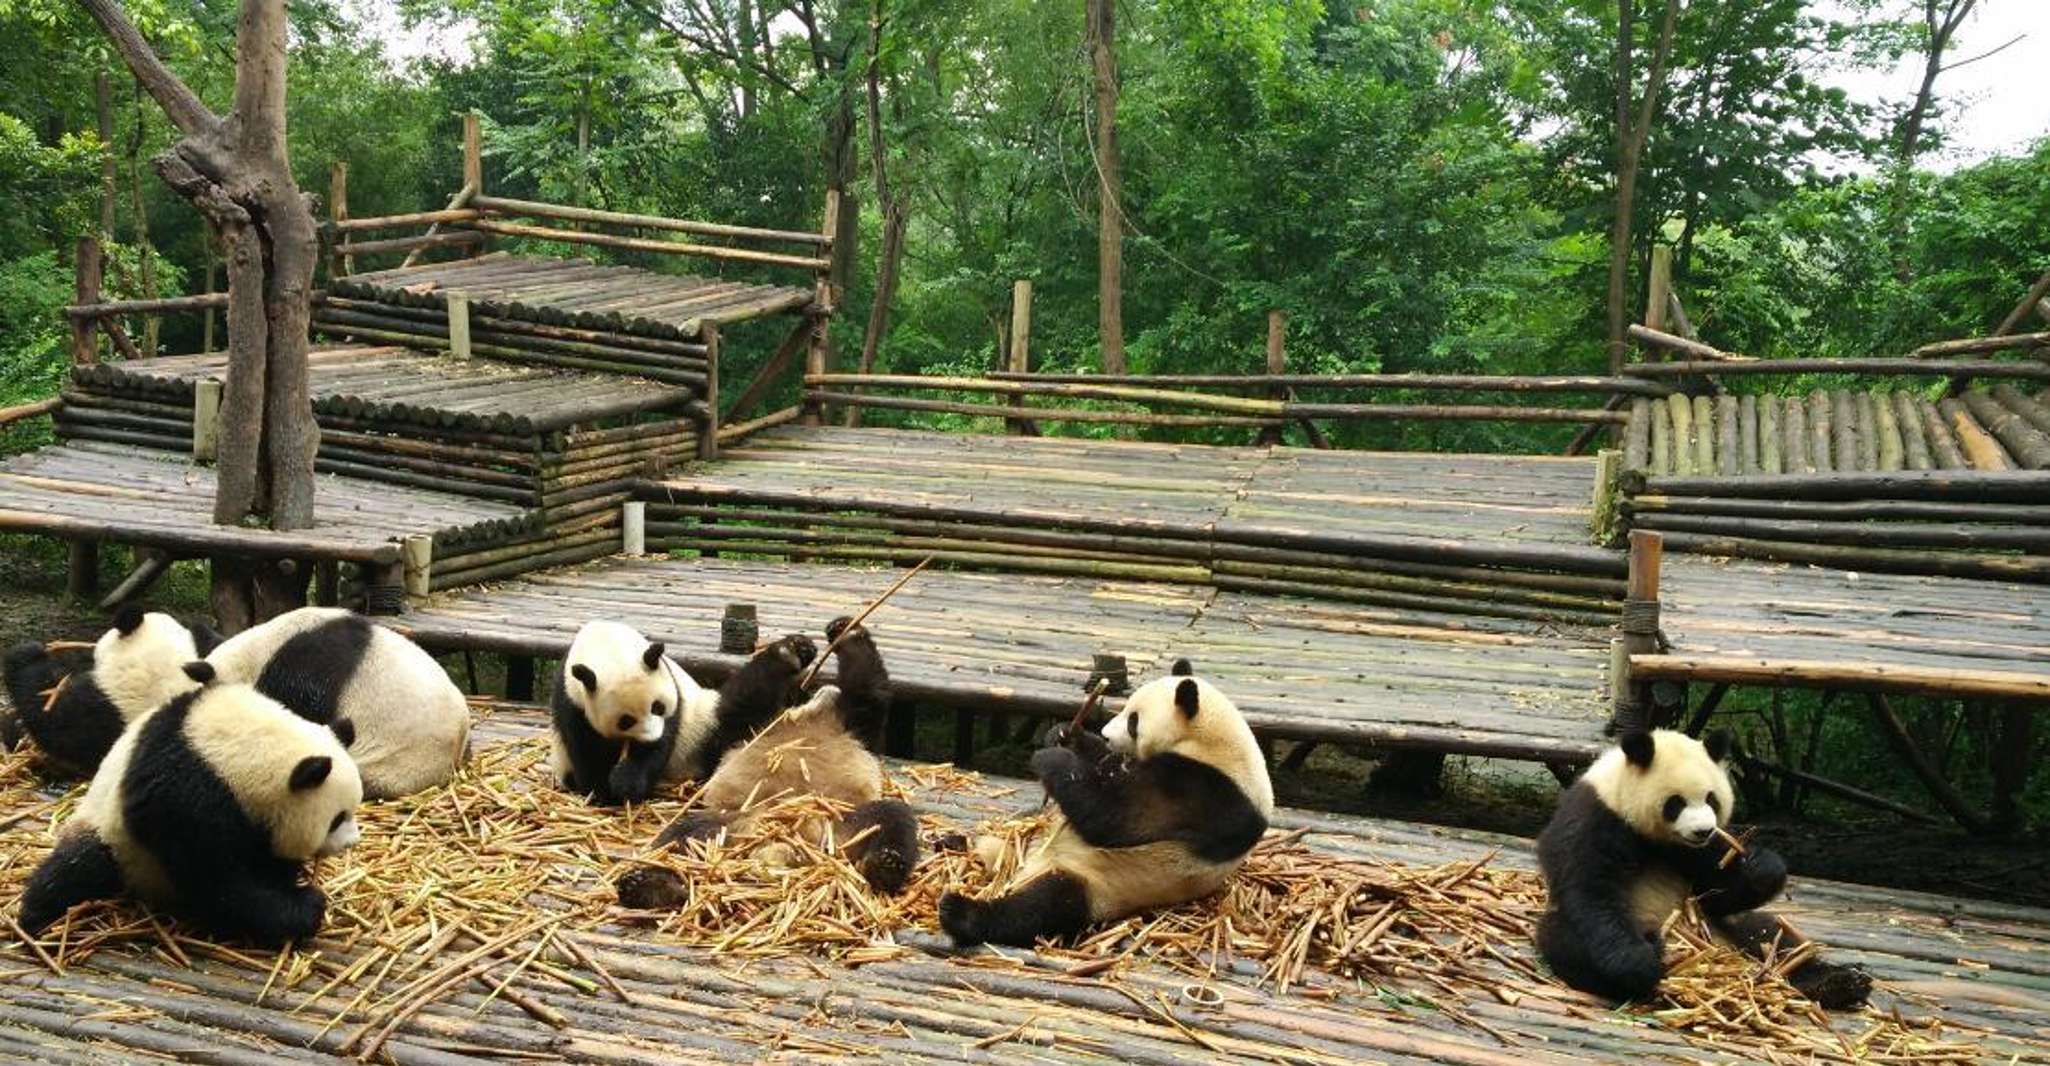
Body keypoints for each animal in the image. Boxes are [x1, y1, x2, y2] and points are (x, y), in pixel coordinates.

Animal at [18, 664, 362, 945]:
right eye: (336, 818)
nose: (352, 842)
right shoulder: (185, 796)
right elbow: (216, 879)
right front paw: (305, 907)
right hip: (113, 835)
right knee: (76, 867)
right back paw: (36, 918)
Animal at [550, 618, 810, 806]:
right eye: (625, 721)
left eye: (658, 706)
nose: (649, 736)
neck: (606, 645)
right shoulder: (572, 701)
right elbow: (587, 749)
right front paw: (605, 791)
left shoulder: (674, 694)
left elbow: (658, 748)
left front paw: (626, 783)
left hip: (704, 720)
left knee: (743, 702)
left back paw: (792, 652)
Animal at [622, 616, 920, 897]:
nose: (822, 690)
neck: (812, 716)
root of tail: (786, 845)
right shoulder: (753, 729)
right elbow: (741, 703)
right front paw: (795, 648)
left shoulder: (856, 729)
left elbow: (868, 693)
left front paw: (845, 631)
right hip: (730, 823)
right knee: (679, 838)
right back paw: (649, 885)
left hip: (843, 822)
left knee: (893, 818)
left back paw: (885, 865)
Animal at [937, 659, 1273, 946]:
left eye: (1134, 721)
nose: (1107, 734)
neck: (1214, 744)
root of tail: (1022, 869)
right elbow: (1104, 768)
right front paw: (1064, 735)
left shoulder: (1207, 793)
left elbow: (1115, 817)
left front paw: (1054, 758)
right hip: (1022, 844)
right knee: (992, 841)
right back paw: (950, 843)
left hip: (1098, 883)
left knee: (1045, 905)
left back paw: (960, 912)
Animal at [1535, 729, 1871, 1009]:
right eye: (1676, 803)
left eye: (1712, 799)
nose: (1703, 830)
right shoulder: (1596, 818)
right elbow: (1591, 890)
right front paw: (1639, 962)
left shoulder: (1699, 851)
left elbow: (1718, 891)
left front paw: (1762, 867)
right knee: (1567, 942)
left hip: (1726, 927)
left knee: (1773, 935)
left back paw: (1840, 983)